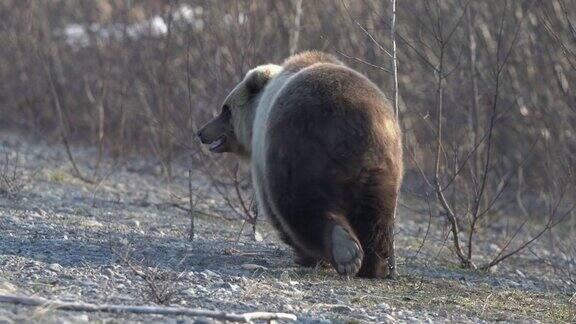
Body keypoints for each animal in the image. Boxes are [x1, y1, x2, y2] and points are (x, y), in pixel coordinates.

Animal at [200, 51, 402, 278]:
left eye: (225, 110)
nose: (202, 132)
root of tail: (349, 120)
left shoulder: (263, 157)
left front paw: (304, 256)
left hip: (298, 146)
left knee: (300, 204)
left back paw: (342, 253)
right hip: (380, 161)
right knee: (376, 213)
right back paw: (373, 265)